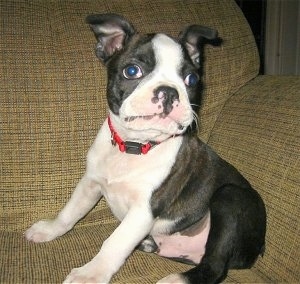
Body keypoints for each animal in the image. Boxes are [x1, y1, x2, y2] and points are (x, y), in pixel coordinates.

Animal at [25, 13, 264, 284]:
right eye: (132, 71)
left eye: (191, 79)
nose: (169, 91)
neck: (134, 146)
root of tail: (257, 250)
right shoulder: (90, 183)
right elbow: (71, 211)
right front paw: (49, 229)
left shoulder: (143, 211)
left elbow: (114, 242)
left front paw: (90, 274)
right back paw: (148, 244)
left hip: (230, 197)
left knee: (215, 264)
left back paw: (175, 280)